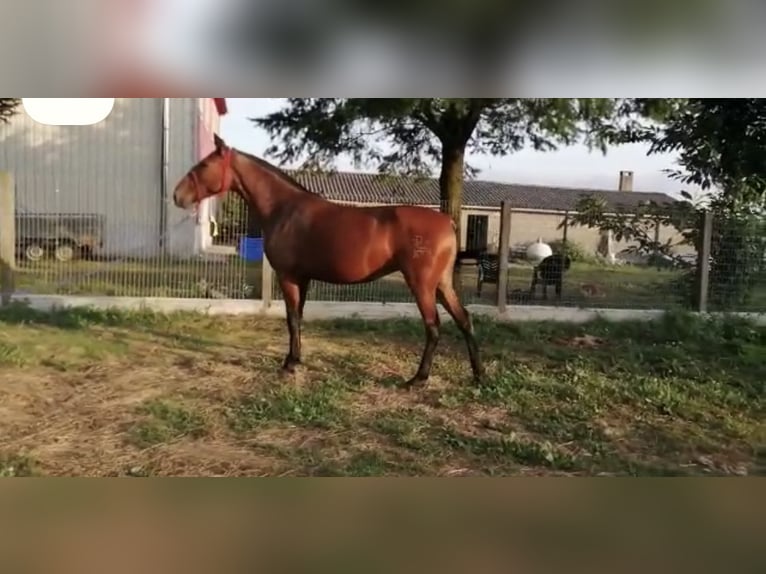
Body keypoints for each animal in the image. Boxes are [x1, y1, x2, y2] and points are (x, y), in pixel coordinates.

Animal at [174, 133, 486, 390]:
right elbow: (297, 318)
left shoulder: (288, 277)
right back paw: (478, 375)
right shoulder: (303, 278)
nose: (177, 195)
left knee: (433, 327)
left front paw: (289, 364)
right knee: (464, 319)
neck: (284, 208)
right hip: (442, 284)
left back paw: (418, 379)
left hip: (422, 285)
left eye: (204, 165)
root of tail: (446, 220)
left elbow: (292, 318)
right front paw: (295, 359)